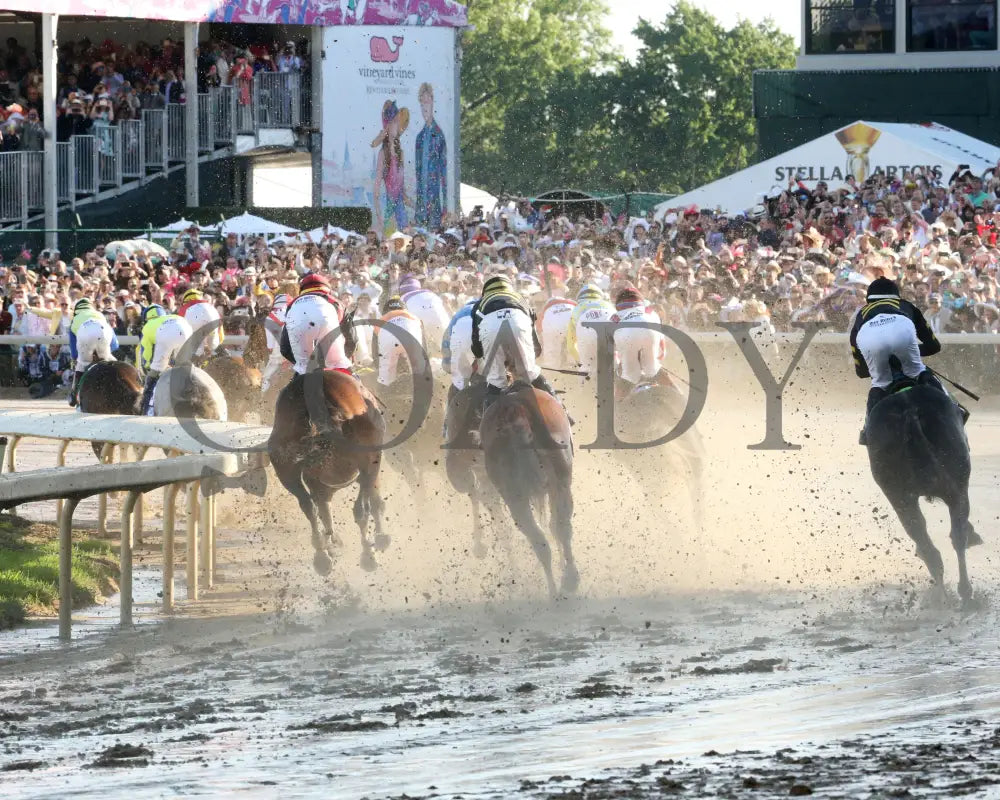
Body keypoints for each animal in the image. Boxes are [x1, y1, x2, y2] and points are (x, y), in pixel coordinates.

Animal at [268, 368, 388, 576]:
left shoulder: (318, 483)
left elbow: (324, 510)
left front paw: (333, 543)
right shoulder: (367, 465)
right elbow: (373, 502)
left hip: (284, 466)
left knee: (309, 507)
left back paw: (322, 556)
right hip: (368, 457)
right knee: (361, 508)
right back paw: (367, 554)